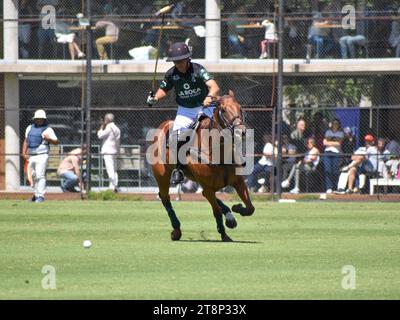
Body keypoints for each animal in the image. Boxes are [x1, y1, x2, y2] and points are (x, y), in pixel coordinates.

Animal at [148, 91, 255, 241]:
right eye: (223, 110)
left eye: (240, 108)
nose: (242, 131)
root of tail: (162, 126)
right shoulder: (209, 187)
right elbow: (216, 211)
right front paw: (223, 234)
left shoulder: (238, 181)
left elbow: (250, 208)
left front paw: (236, 208)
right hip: (162, 175)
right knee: (165, 197)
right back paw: (176, 230)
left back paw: (230, 216)